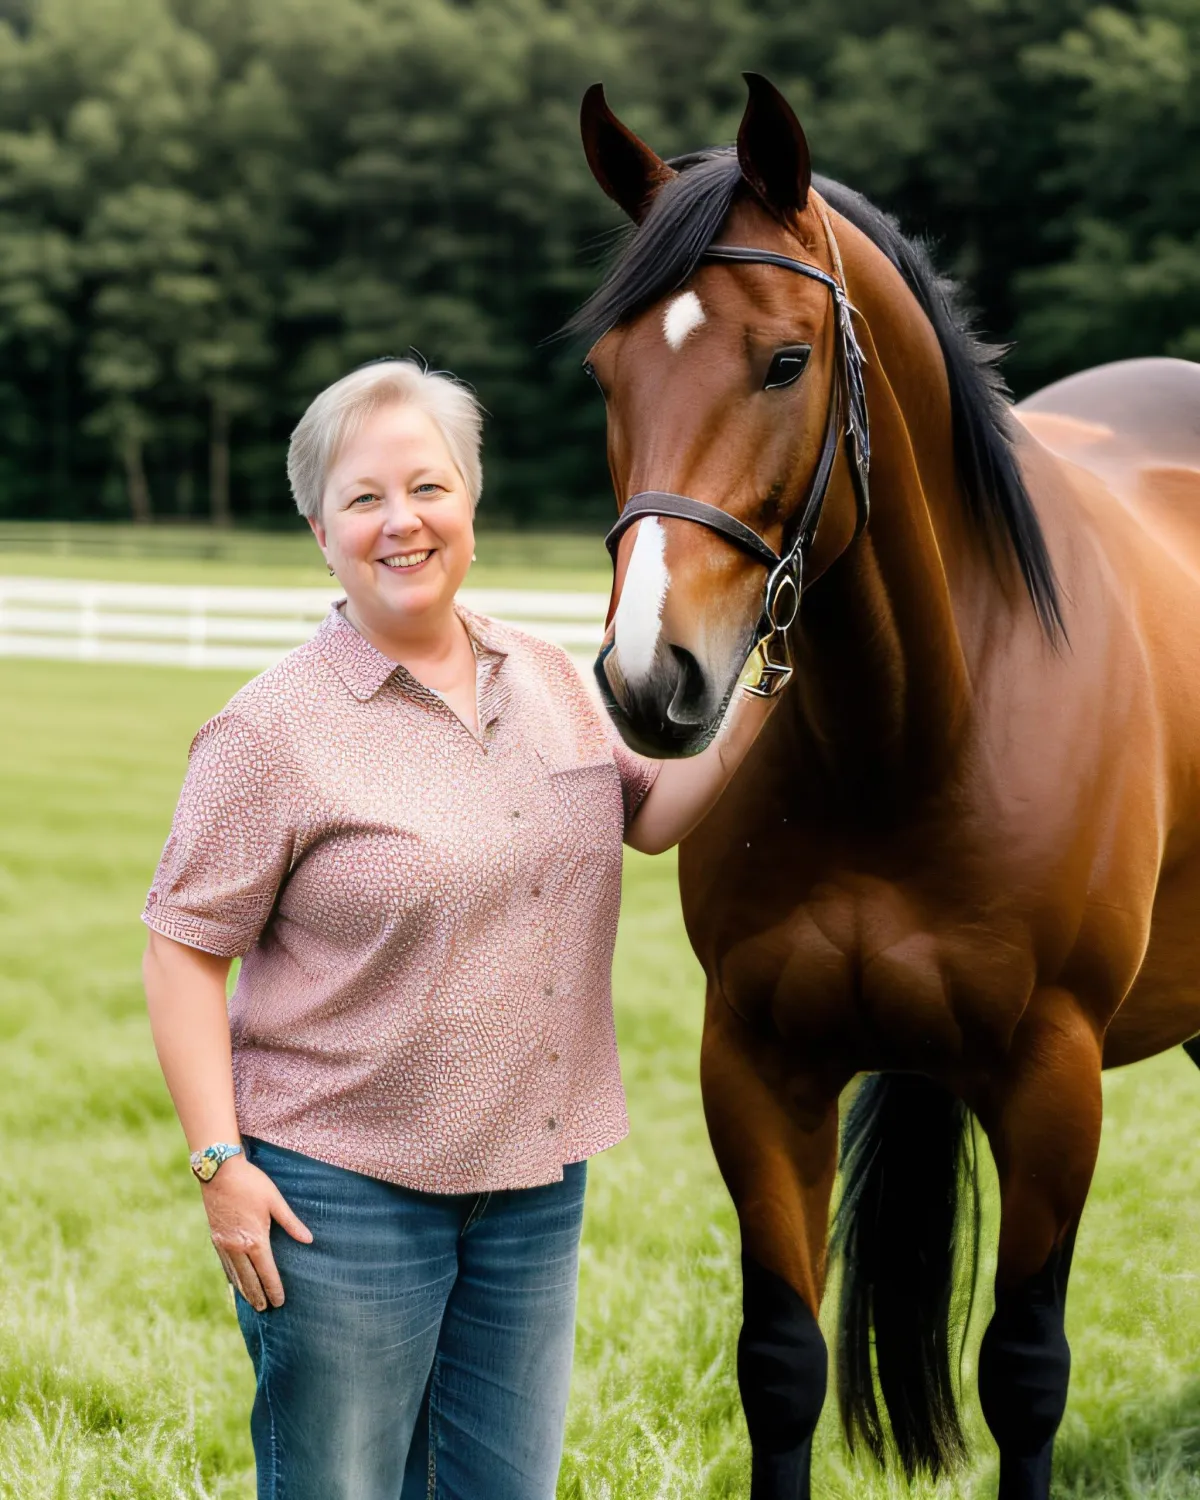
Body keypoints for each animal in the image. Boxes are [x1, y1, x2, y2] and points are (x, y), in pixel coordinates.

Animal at [570, 76, 1200, 1500]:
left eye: (785, 362)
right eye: (605, 373)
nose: (647, 675)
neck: (917, 734)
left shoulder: (1053, 1084)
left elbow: (1025, 1377)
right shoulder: (760, 1067)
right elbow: (780, 1366)